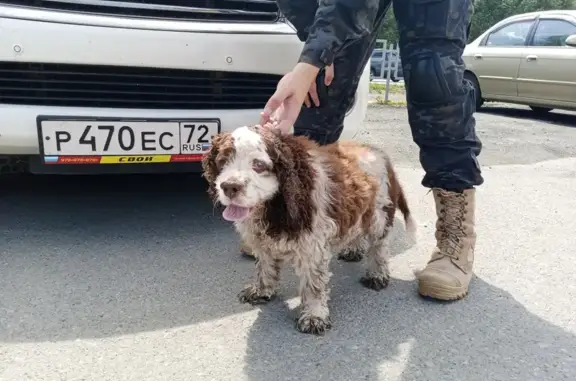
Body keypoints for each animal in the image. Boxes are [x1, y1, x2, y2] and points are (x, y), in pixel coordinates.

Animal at [201, 123, 414, 334]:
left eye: (258, 165)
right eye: (222, 161)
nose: (229, 187)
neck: (275, 204)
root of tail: (377, 151)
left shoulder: (313, 246)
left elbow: (313, 284)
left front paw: (314, 316)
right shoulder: (262, 241)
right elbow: (265, 266)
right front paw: (261, 290)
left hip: (379, 214)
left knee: (379, 247)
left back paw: (377, 274)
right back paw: (353, 249)